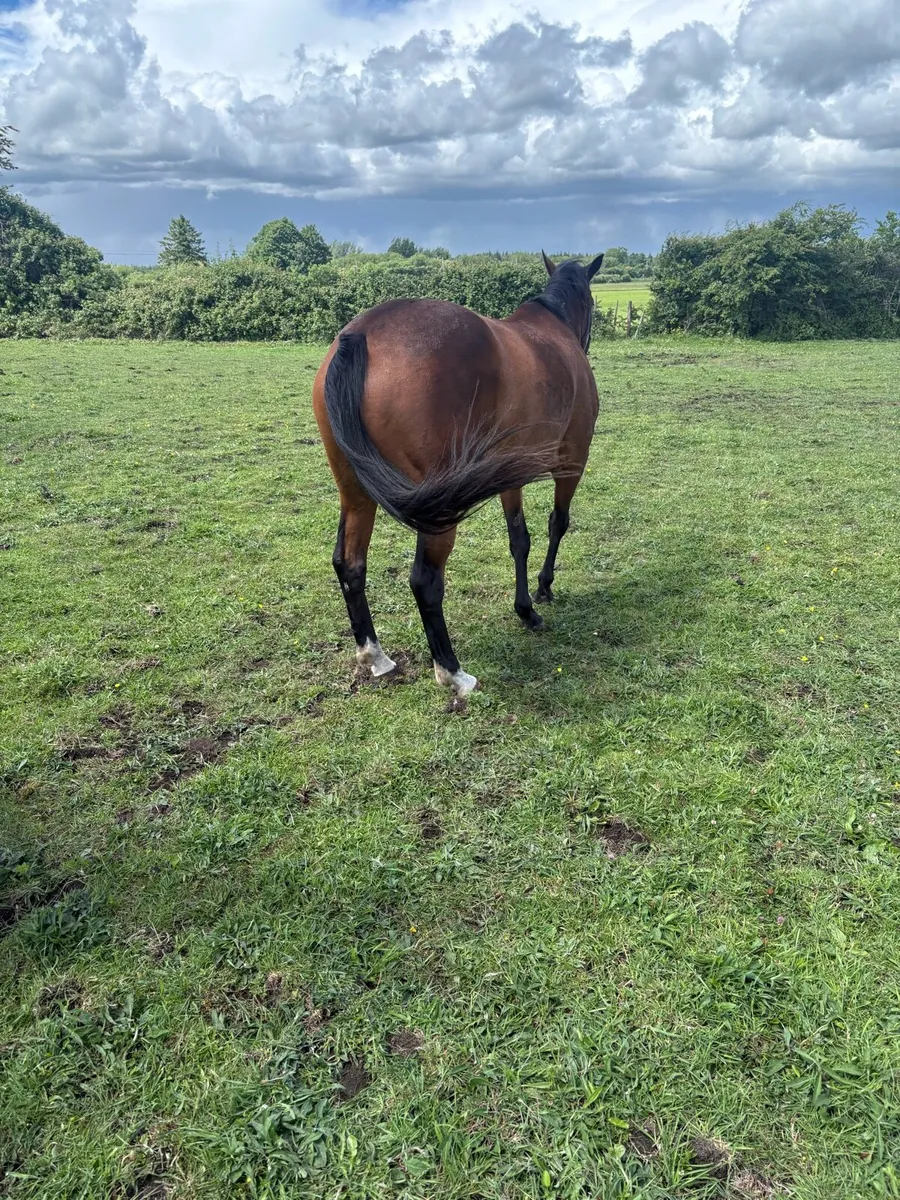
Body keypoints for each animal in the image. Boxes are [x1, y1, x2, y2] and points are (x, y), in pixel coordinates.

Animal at [311, 251, 604, 696]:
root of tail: (361, 334)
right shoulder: (572, 462)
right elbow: (558, 524)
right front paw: (544, 587)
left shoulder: (509, 475)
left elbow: (519, 539)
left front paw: (525, 609)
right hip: (438, 507)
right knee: (425, 580)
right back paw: (451, 671)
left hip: (356, 491)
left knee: (350, 563)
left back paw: (375, 656)